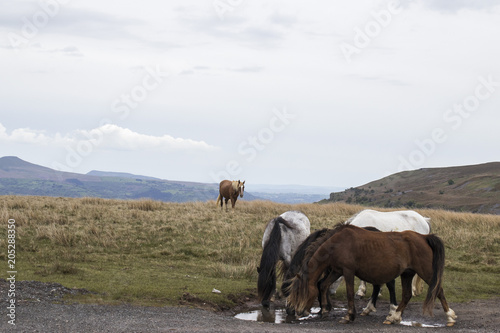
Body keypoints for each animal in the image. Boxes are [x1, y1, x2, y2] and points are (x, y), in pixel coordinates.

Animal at [286, 224, 458, 326]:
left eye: (301, 293)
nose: (298, 312)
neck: (337, 243)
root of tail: (423, 237)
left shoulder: (348, 271)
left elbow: (349, 293)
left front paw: (349, 316)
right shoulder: (336, 271)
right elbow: (323, 285)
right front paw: (325, 311)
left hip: (426, 271)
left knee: (438, 290)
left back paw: (449, 317)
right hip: (407, 274)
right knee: (407, 295)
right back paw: (393, 317)